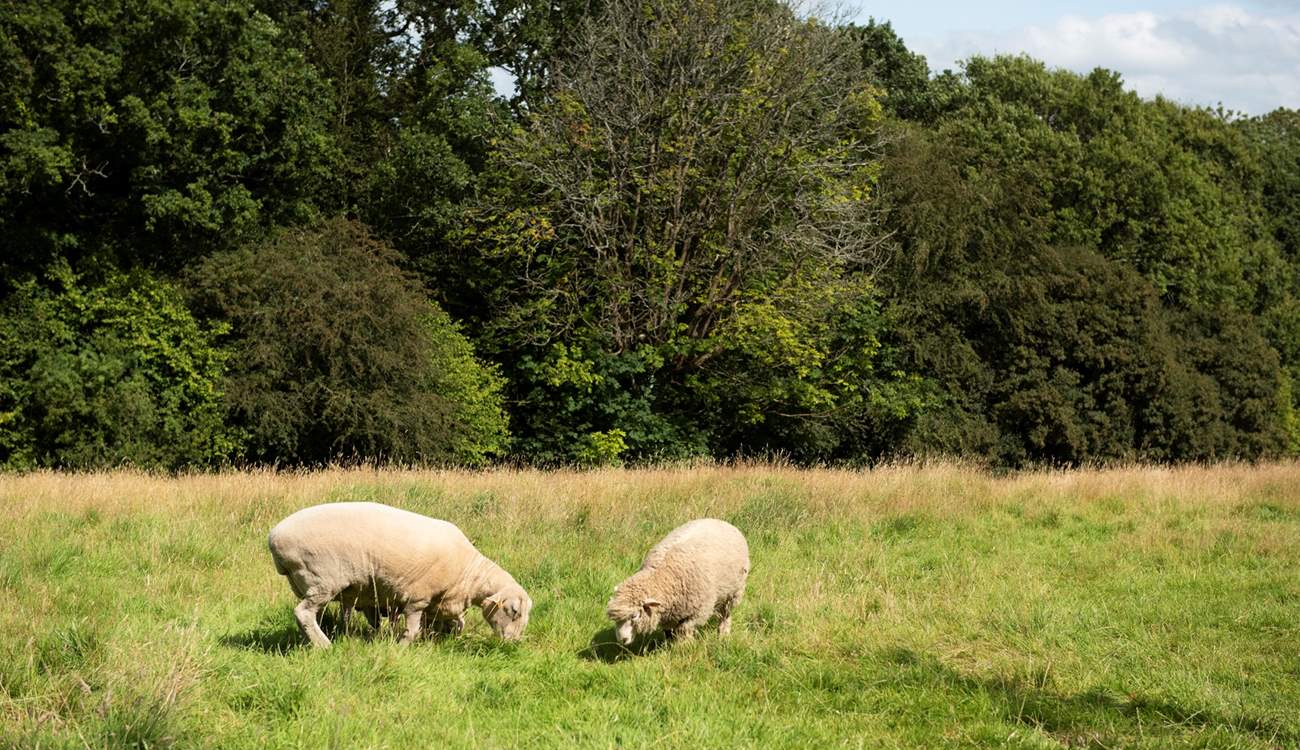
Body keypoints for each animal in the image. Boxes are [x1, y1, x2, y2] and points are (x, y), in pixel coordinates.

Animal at [267, 502, 531, 648]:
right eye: (513, 611)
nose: (514, 644)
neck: (470, 574)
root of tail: (274, 536)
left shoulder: (440, 600)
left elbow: (455, 623)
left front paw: (439, 638)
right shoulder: (417, 598)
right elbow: (412, 629)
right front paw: (401, 646)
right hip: (322, 580)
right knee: (303, 613)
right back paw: (324, 645)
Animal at [606, 518, 749, 645]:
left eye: (634, 616)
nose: (622, 640)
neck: (662, 578)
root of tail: (721, 521)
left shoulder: (697, 612)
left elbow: (684, 630)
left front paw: (686, 646)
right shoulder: (669, 615)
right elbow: (669, 632)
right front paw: (669, 646)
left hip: (734, 592)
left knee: (725, 615)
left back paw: (723, 634)